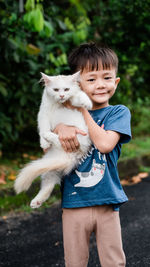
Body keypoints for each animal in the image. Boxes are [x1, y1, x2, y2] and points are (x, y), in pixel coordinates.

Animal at [14, 73, 91, 209]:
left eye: (66, 89)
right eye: (56, 90)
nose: (61, 96)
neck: (57, 104)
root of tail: (72, 157)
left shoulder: (73, 99)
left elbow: (78, 96)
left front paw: (86, 102)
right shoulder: (43, 114)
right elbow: (43, 126)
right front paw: (43, 143)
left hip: (81, 136)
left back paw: (49, 136)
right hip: (50, 169)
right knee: (48, 186)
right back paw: (36, 202)